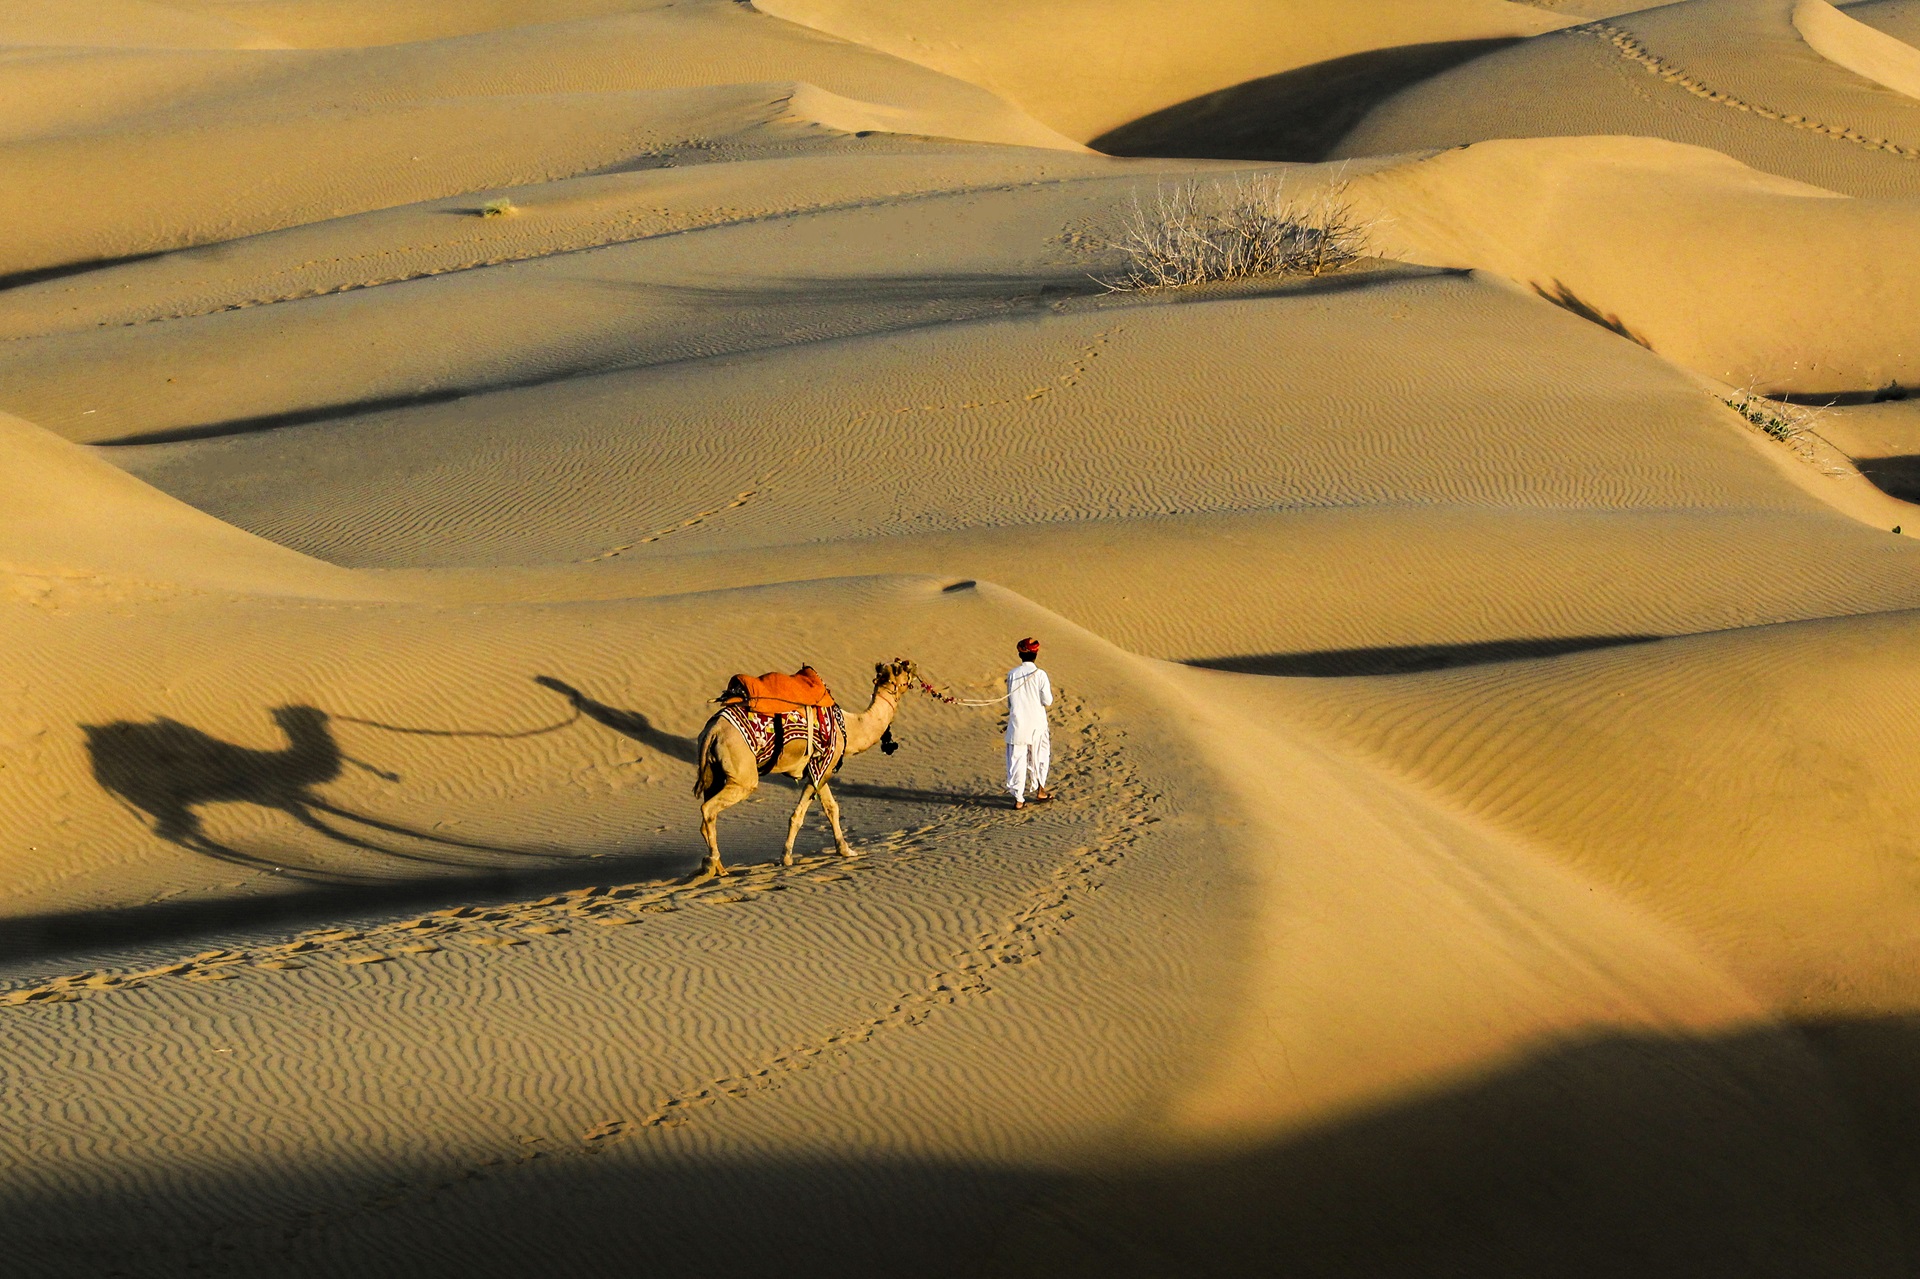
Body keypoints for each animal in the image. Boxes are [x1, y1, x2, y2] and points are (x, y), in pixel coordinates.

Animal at [693, 658, 917, 877]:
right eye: (899, 668)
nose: (911, 665)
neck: (851, 727)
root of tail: (713, 730)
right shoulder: (823, 765)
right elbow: (798, 815)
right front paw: (786, 858)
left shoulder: (820, 770)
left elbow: (832, 808)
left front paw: (846, 850)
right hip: (743, 774)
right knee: (709, 808)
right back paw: (713, 863)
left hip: (714, 772)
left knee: (708, 812)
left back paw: (718, 867)